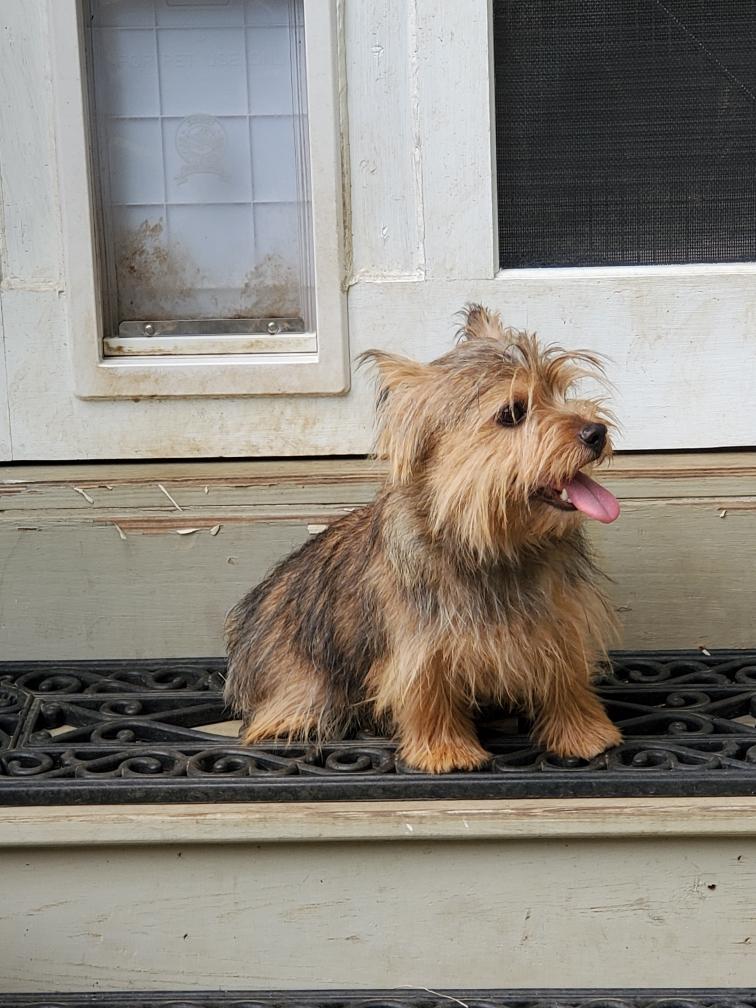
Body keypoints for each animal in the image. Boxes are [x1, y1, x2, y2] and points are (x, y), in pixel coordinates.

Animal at [224, 305, 622, 773]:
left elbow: (566, 677)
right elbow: (428, 694)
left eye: (561, 390)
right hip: (305, 676)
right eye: (512, 413)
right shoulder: (421, 646)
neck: (492, 544)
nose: (596, 432)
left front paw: (584, 733)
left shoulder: (558, 620)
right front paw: (445, 750)